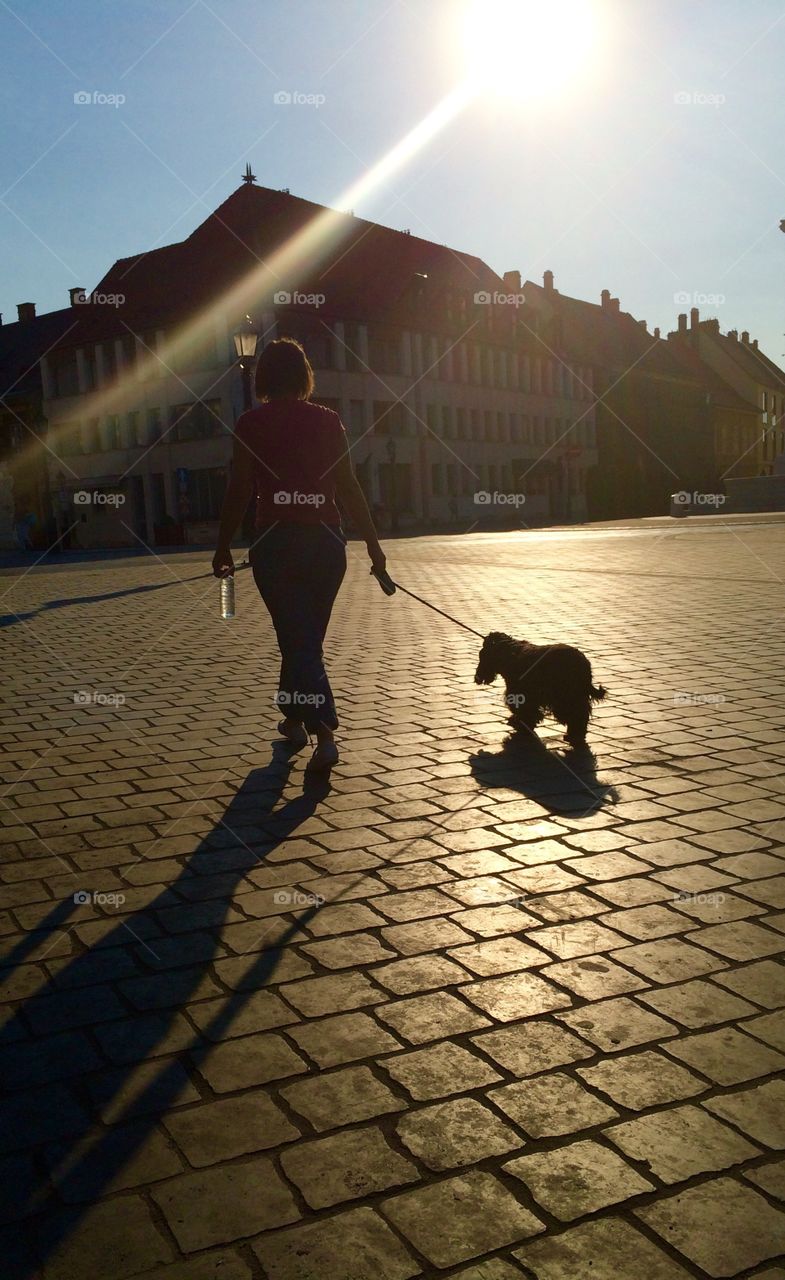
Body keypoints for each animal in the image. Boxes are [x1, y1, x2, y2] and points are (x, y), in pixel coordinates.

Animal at [471, 632, 606, 747]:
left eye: (482, 656)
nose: (477, 677)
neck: (509, 651)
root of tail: (584, 663)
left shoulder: (520, 693)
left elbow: (524, 711)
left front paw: (520, 724)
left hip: (566, 697)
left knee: (578, 714)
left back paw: (574, 735)